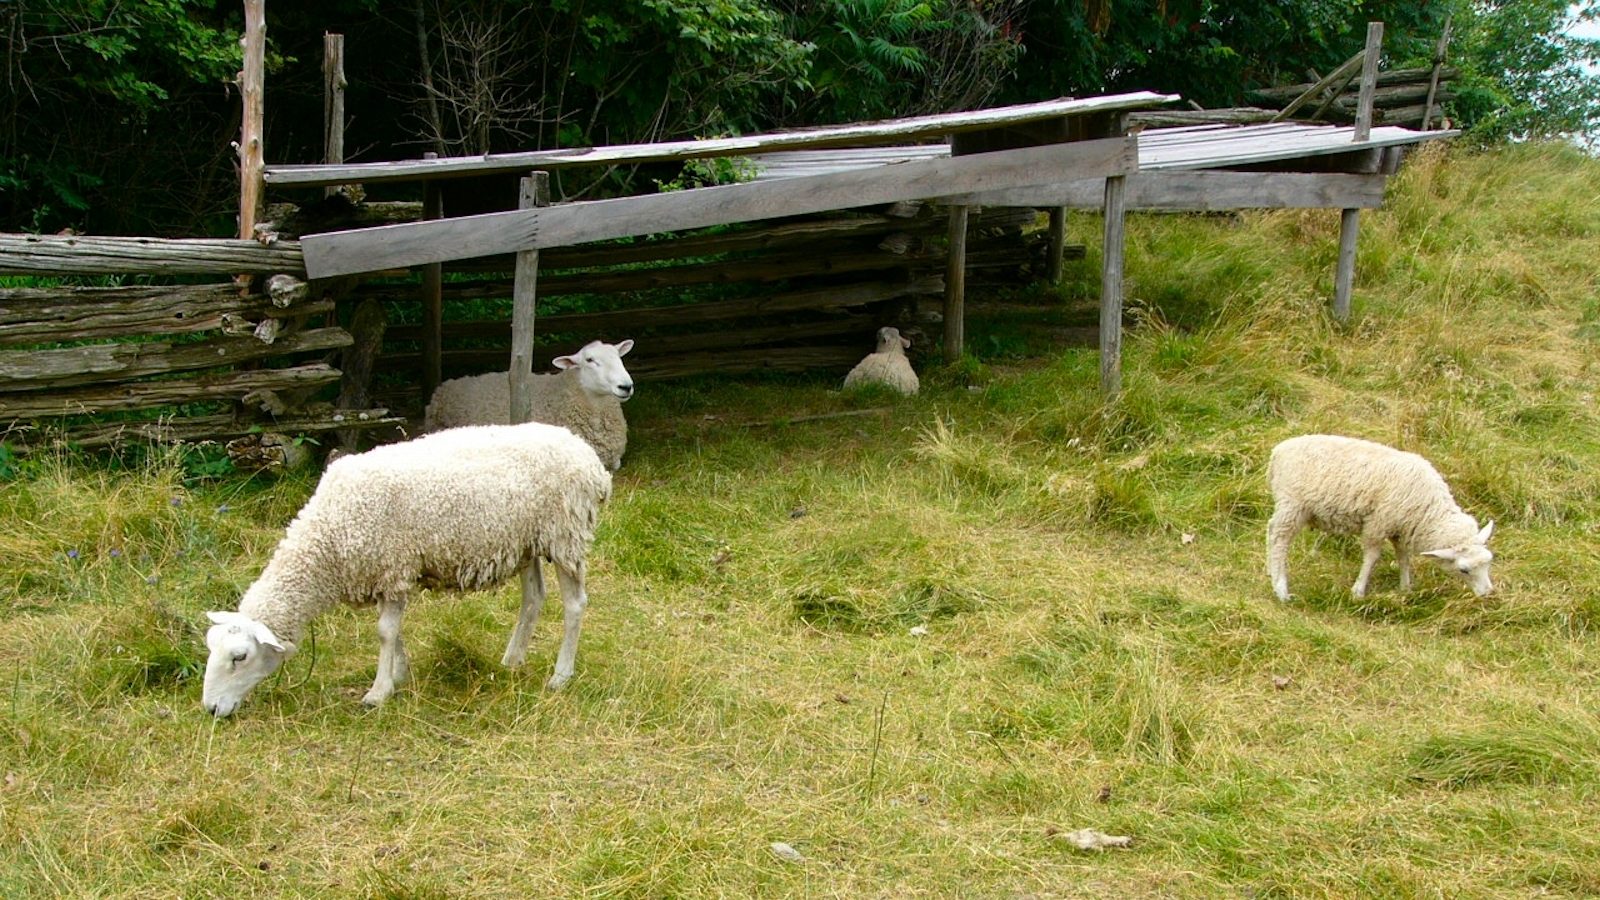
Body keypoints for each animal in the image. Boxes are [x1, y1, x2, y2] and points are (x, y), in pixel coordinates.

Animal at [203, 419, 614, 714]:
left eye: (239, 657)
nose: (210, 709)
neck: (328, 539)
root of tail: (589, 458)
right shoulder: (386, 574)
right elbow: (390, 630)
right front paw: (397, 674)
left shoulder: (394, 567)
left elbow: (384, 632)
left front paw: (378, 692)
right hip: (527, 542)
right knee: (533, 598)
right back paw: (511, 660)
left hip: (566, 535)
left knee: (574, 604)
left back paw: (561, 675)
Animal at [1267, 432, 1491, 598]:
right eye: (1464, 570)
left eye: (1489, 561)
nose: (1489, 592)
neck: (1428, 509)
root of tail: (1279, 451)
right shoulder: (1378, 523)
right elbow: (1372, 558)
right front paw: (1358, 591)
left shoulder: (1400, 528)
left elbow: (1403, 557)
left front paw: (1405, 588)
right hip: (1293, 503)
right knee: (1279, 539)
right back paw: (1281, 589)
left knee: (1271, 530)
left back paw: (1270, 571)